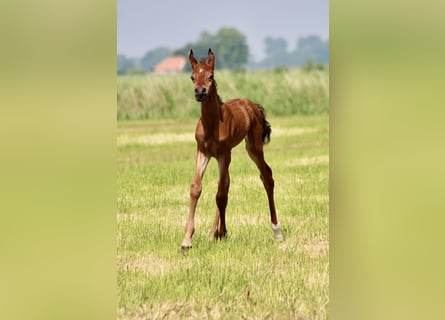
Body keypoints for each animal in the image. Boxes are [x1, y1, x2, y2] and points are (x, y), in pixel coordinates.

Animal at [180, 48, 280, 252]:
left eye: (210, 76)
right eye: (192, 77)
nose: (200, 92)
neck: (212, 124)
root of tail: (252, 105)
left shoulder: (224, 154)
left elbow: (220, 195)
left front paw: (223, 232)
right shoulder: (203, 152)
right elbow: (197, 188)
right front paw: (187, 240)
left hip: (253, 147)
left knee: (266, 175)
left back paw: (276, 230)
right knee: (227, 183)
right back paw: (212, 234)